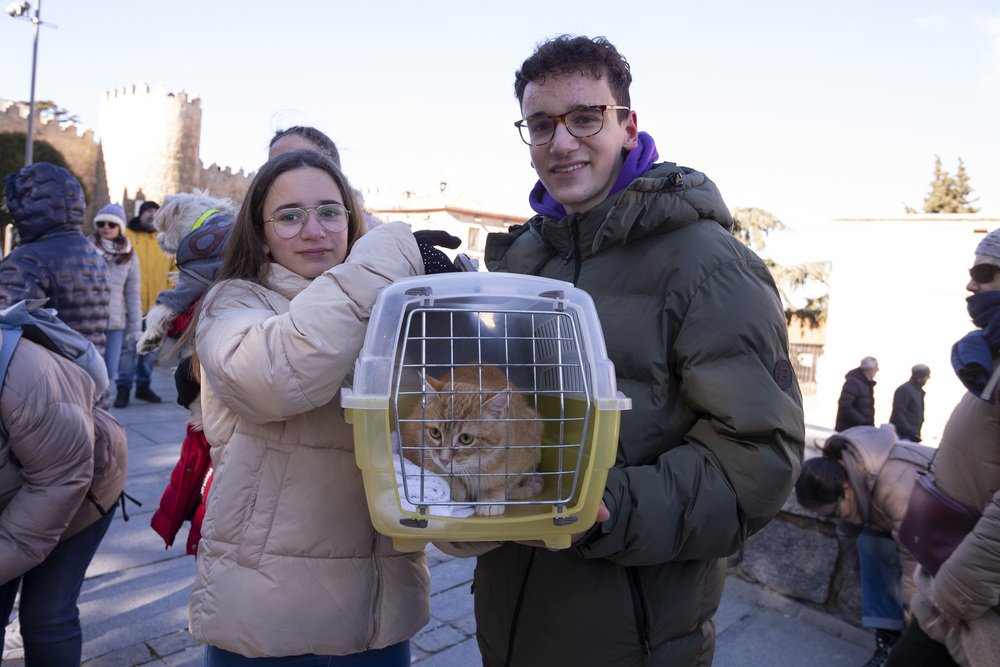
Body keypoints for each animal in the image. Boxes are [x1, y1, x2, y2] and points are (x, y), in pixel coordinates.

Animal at [400, 366, 548, 516]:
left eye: (466, 438)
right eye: (435, 433)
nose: (444, 460)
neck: (476, 466)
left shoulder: (531, 441)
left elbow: (506, 480)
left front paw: (491, 500)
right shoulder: (418, 450)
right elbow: (439, 474)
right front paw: (459, 492)